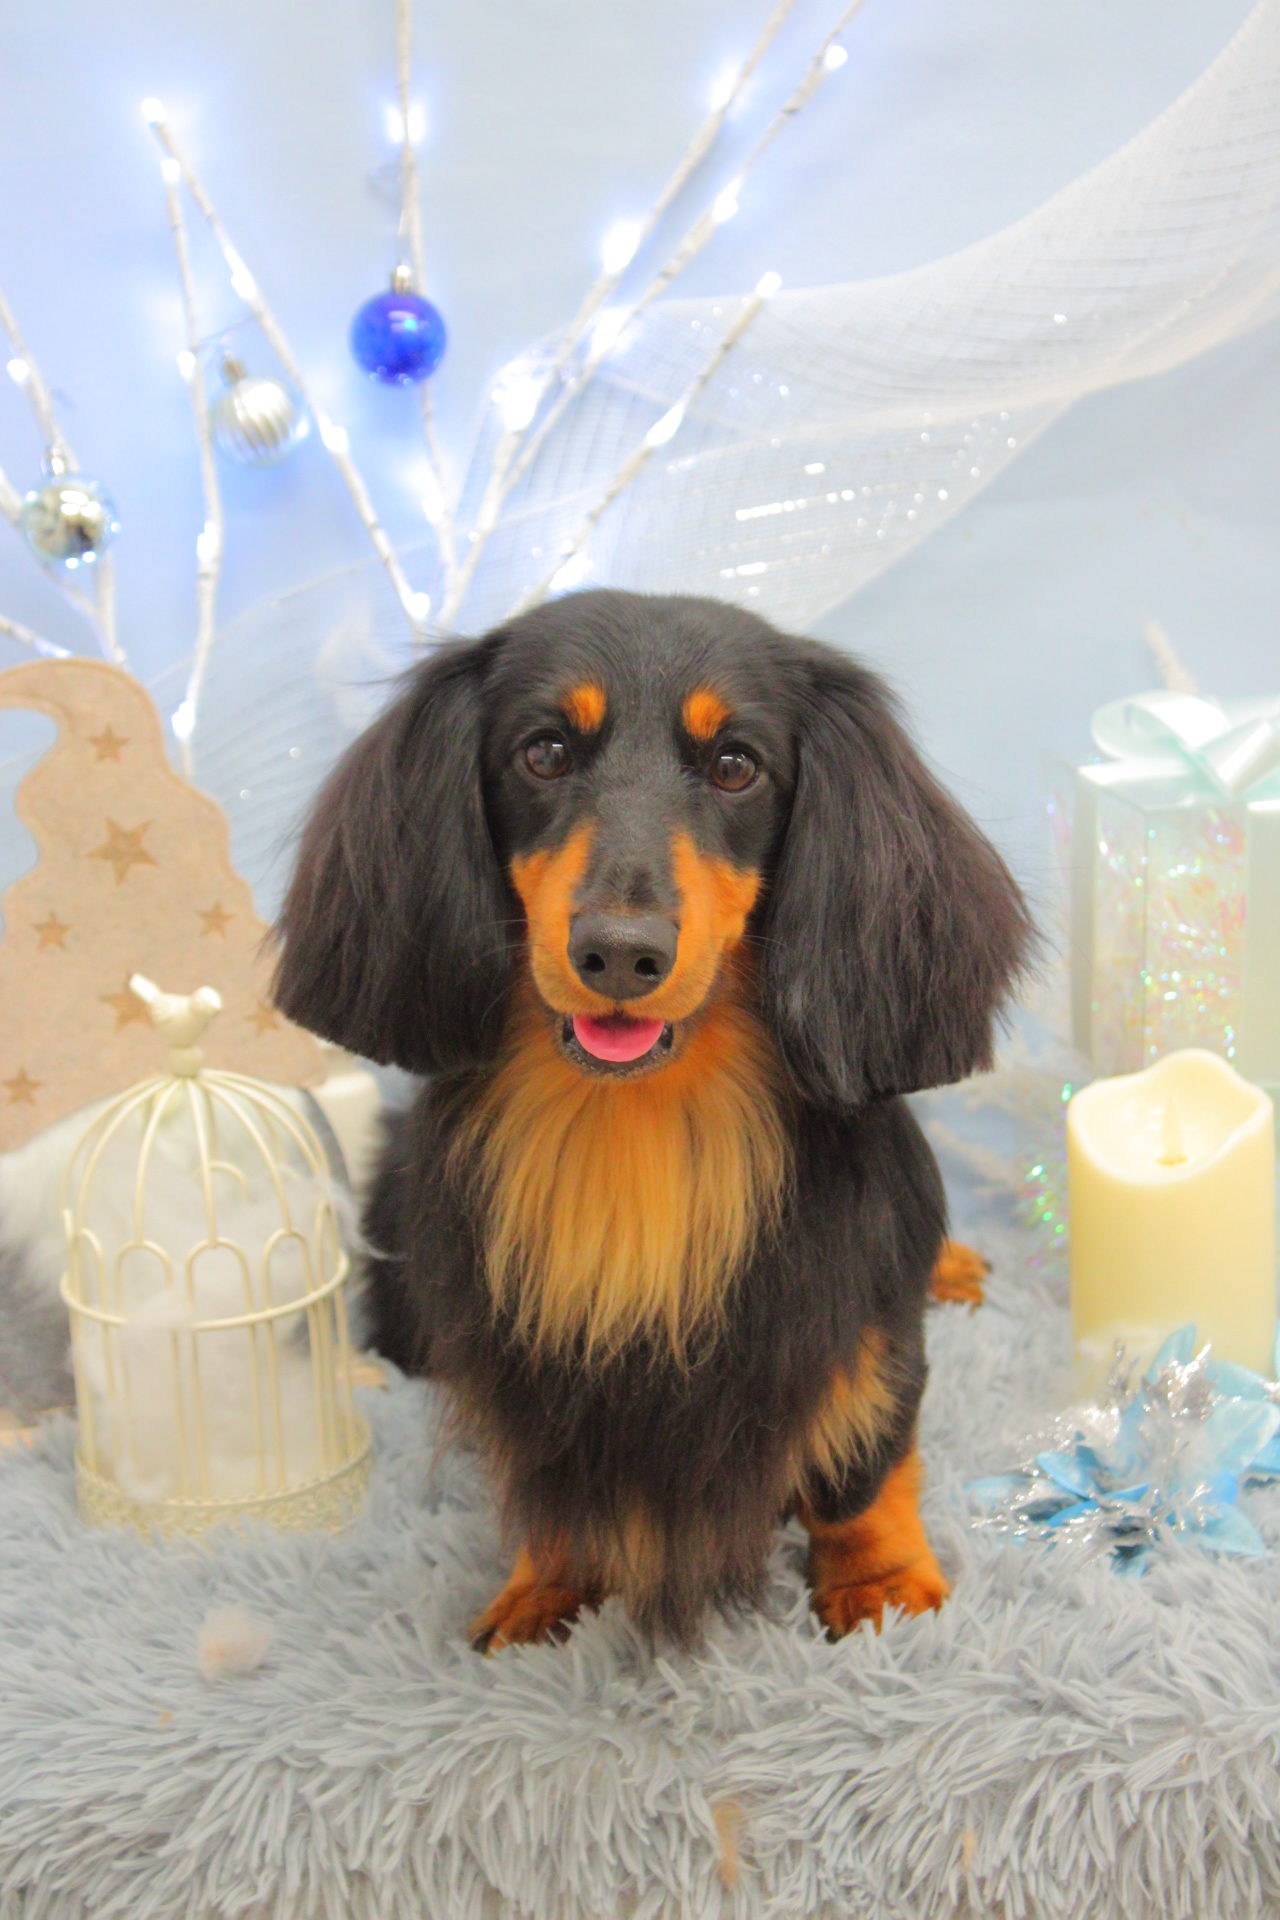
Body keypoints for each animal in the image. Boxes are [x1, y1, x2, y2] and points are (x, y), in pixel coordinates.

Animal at [273, 589, 1031, 1649]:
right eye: (545, 750)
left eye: (735, 764)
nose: (620, 953)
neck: (640, 1122)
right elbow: (553, 1482)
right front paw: (547, 1585)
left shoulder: (855, 1315)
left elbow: (865, 1456)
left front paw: (878, 1581)